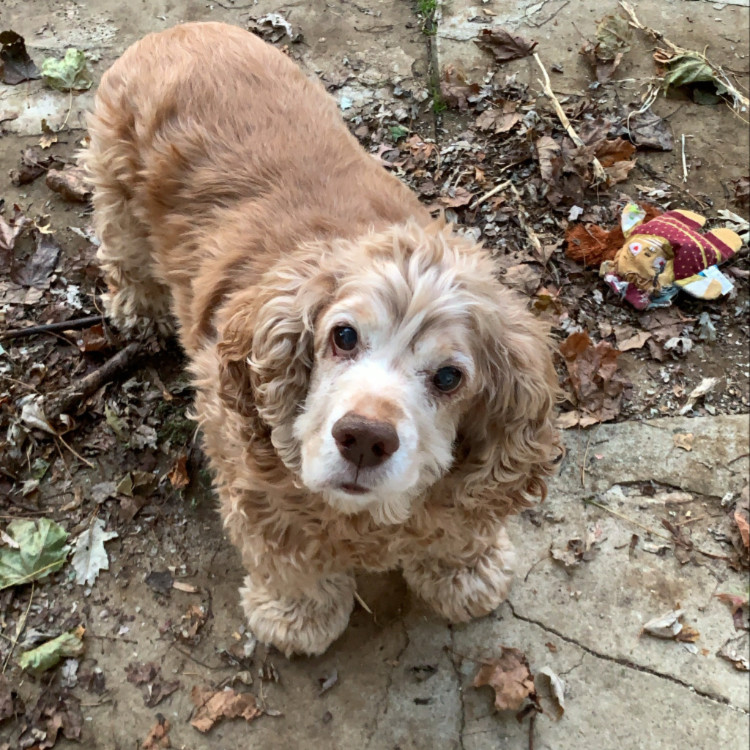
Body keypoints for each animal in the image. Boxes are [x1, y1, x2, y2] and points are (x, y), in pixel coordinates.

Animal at [85, 22, 560, 656]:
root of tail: (184, 27)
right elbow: (290, 559)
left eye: (449, 377)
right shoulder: (255, 476)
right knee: (124, 249)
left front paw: (467, 576)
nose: (364, 439)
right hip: (115, 178)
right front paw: (297, 619)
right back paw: (138, 310)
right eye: (343, 336)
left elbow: (461, 522)